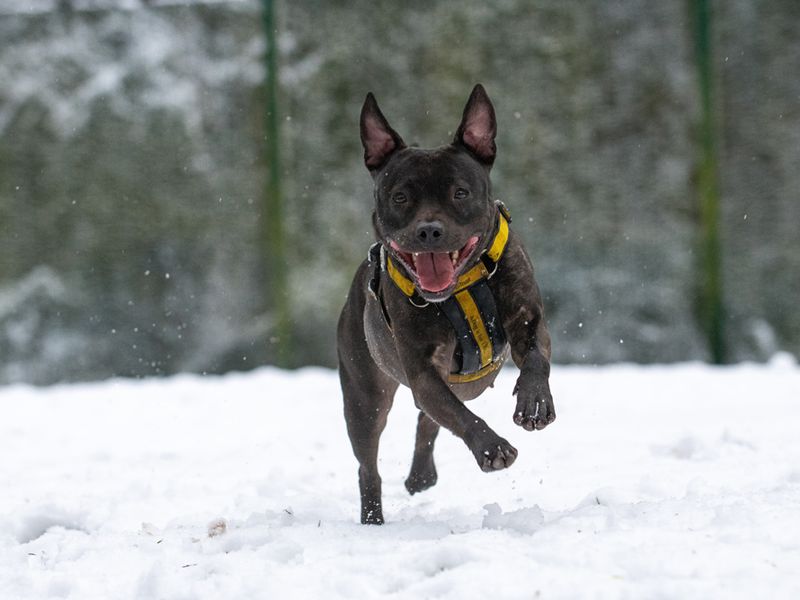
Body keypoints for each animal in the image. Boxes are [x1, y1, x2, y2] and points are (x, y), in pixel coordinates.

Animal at [334, 84, 552, 524]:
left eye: (460, 193)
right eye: (400, 196)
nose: (429, 230)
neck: (460, 287)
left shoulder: (529, 319)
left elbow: (537, 357)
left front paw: (534, 404)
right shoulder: (421, 370)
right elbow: (454, 413)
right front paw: (492, 448)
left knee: (428, 418)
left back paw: (420, 476)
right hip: (364, 397)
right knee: (370, 462)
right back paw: (373, 518)